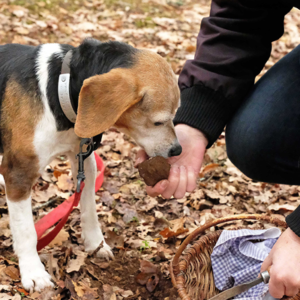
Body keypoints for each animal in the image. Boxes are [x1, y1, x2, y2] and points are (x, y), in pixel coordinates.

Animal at [0, 38, 180, 292]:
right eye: (159, 122)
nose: (177, 150)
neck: (58, 87)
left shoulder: (83, 161)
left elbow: (89, 210)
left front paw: (95, 243)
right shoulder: (19, 174)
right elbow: (26, 231)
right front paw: (33, 272)